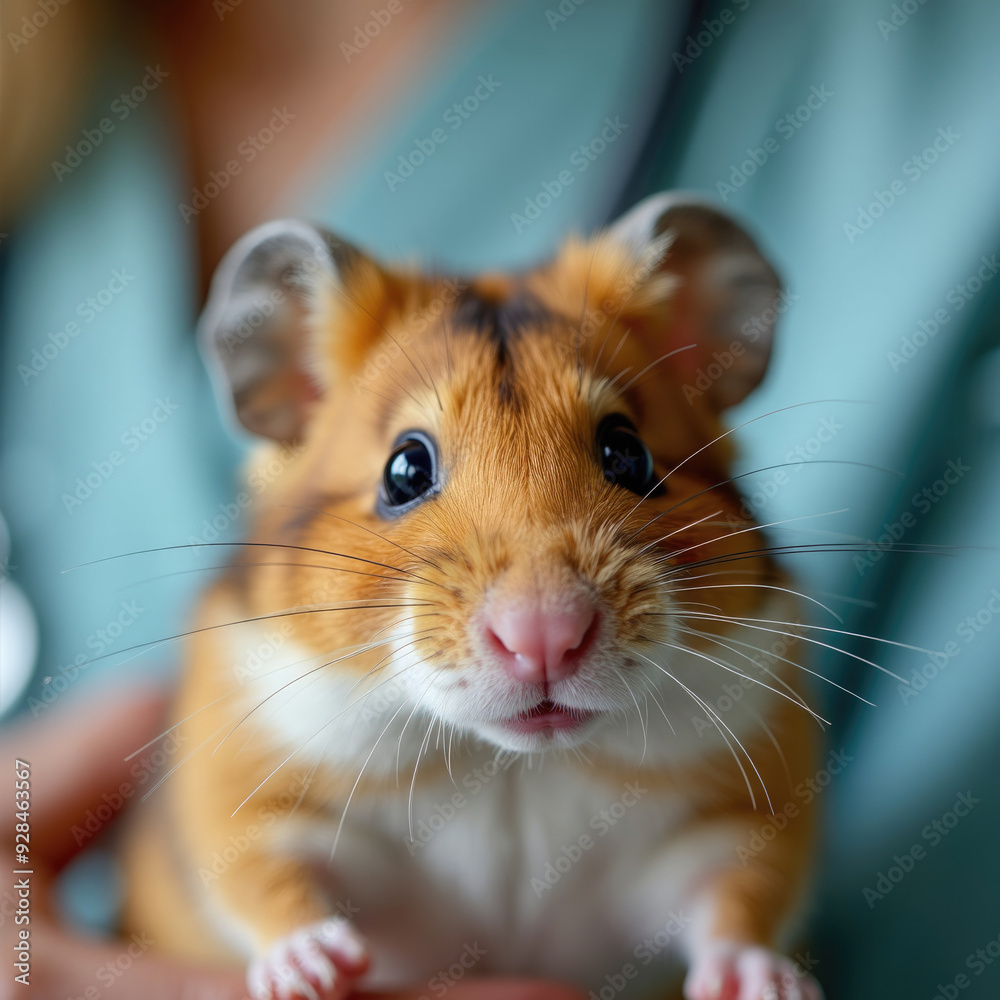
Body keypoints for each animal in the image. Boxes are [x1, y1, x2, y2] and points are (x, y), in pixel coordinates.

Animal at [121, 193, 824, 1000]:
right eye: (404, 470)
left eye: (627, 452)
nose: (545, 638)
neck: (509, 763)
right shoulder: (243, 800)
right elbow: (267, 877)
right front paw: (317, 973)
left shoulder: (739, 820)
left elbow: (740, 893)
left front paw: (764, 985)